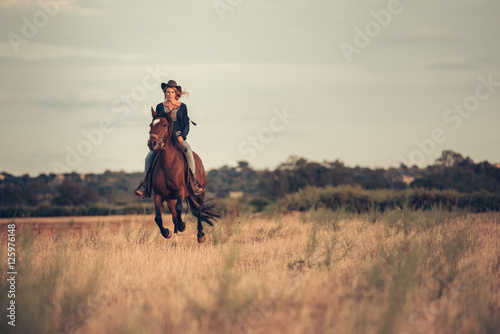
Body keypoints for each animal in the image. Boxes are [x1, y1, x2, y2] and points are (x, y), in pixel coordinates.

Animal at [148, 107, 219, 243]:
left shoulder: (180, 191)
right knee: (175, 215)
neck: (167, 164)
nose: (152, 143)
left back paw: (200, 235)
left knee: (198, 210)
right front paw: (167, 233)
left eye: (164, 125)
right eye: (150, 125)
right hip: (170, 198)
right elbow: (158, 218)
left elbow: (180, 208)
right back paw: (174, 241)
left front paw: (182, 226)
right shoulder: (159, 195)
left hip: (199, 194)